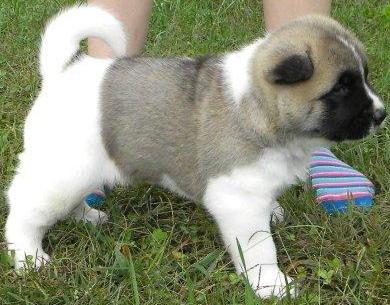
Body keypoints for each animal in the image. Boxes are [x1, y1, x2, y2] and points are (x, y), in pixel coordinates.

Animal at [4, 5, 386, 298]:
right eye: (341, 88)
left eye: (363, 78)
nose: (381, 114)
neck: (259, 108)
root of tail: (61, 73)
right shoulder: (238, 201)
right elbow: (260, 249)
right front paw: (271, 285)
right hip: (65, 171)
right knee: (24, 208)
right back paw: (28, 256)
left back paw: (86, 216)